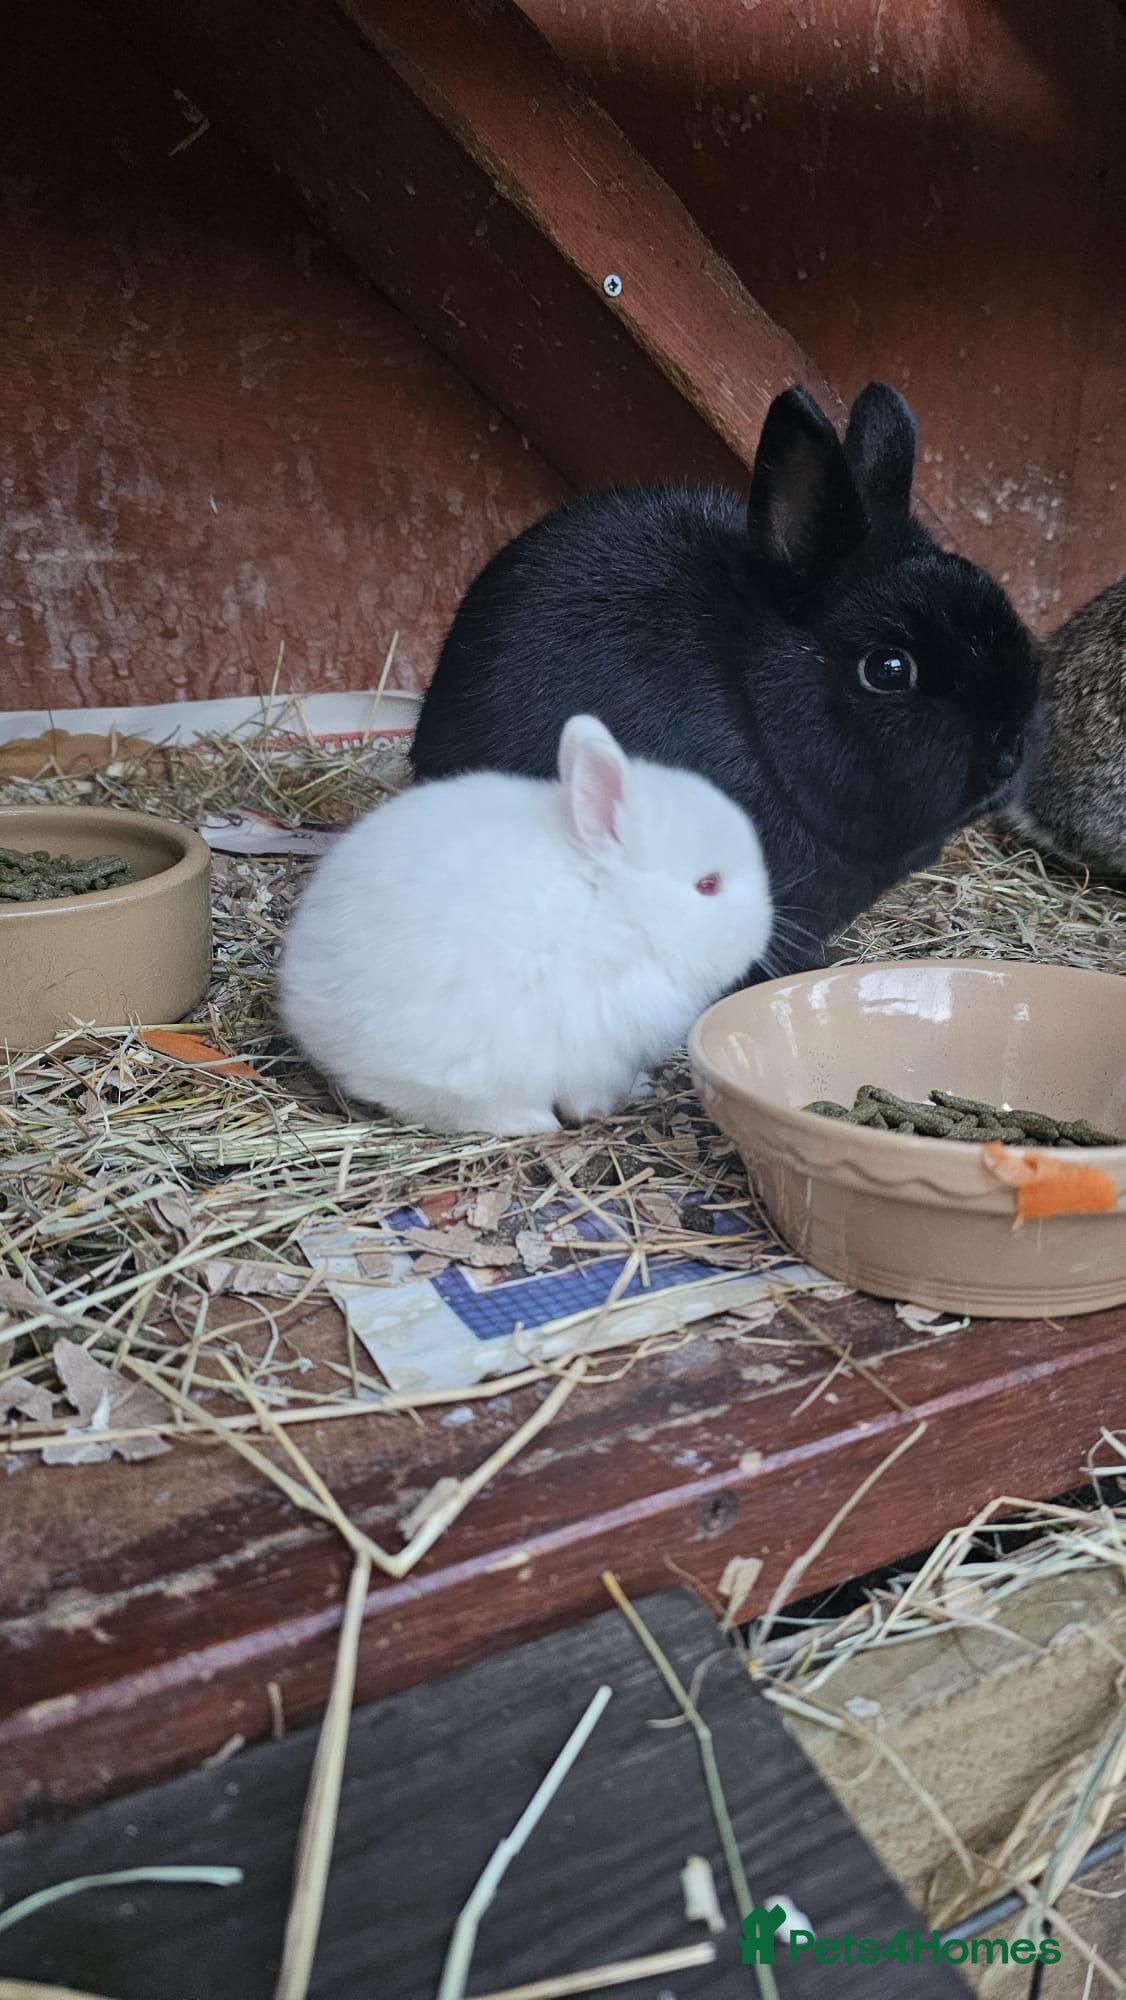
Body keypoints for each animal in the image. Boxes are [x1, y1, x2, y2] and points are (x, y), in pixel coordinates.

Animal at [277, 713, 772, 1137]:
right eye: (708, 885)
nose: (764, 926)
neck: (615, 906)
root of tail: (306, 1012)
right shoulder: (598, 1043)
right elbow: (589, 1093)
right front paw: (622, 1098)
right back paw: (532, 1122)